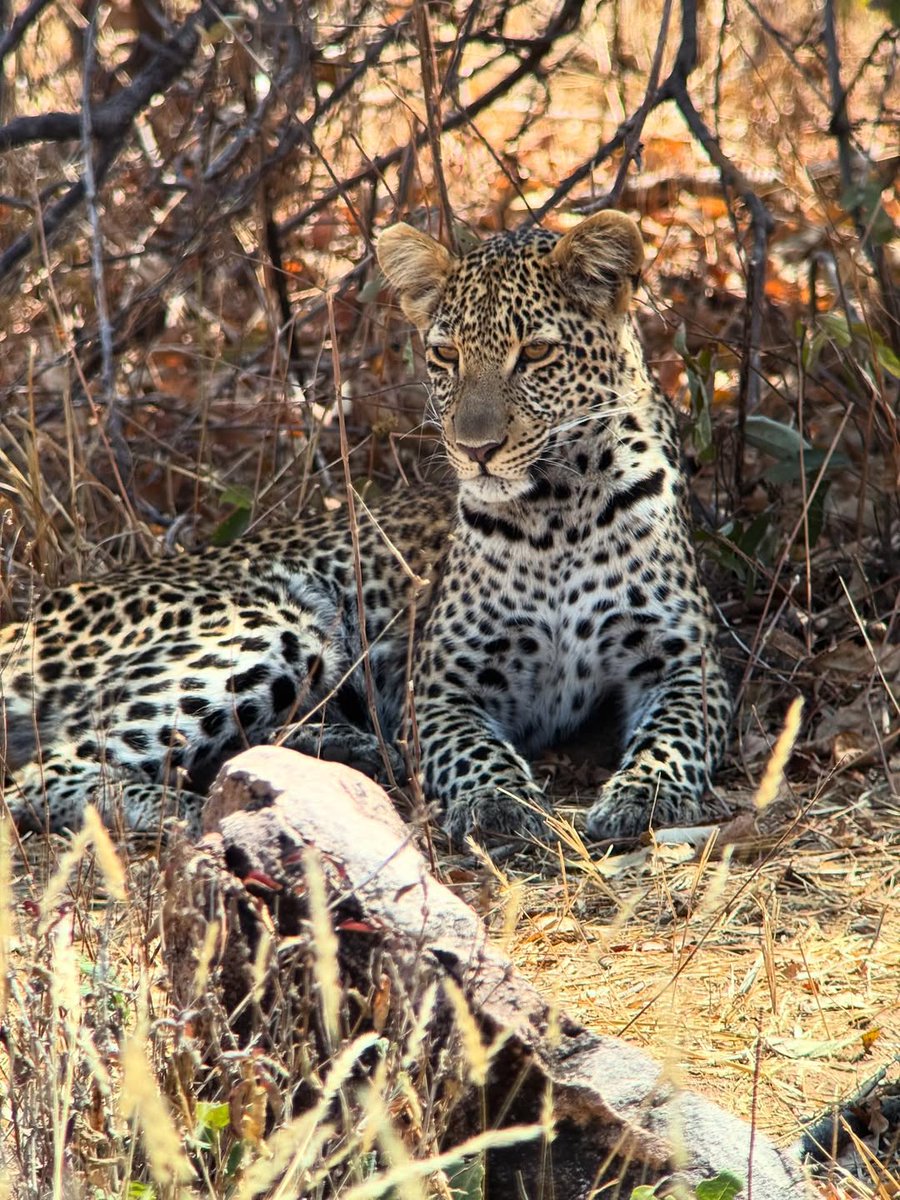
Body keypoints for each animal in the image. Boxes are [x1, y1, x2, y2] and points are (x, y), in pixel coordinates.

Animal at [0, 209, 732, 847]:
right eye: (446, 355)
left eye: (538, 352)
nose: (476, 449)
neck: (559, 510)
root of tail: (31, 615)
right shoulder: (441, 685)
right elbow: (474, 751)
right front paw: (498, 802)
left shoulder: (688, 662)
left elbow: (674, 739)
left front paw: (644, 796)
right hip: (272, 623)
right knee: (43, 773)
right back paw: (203, 811)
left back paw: (337, 754)